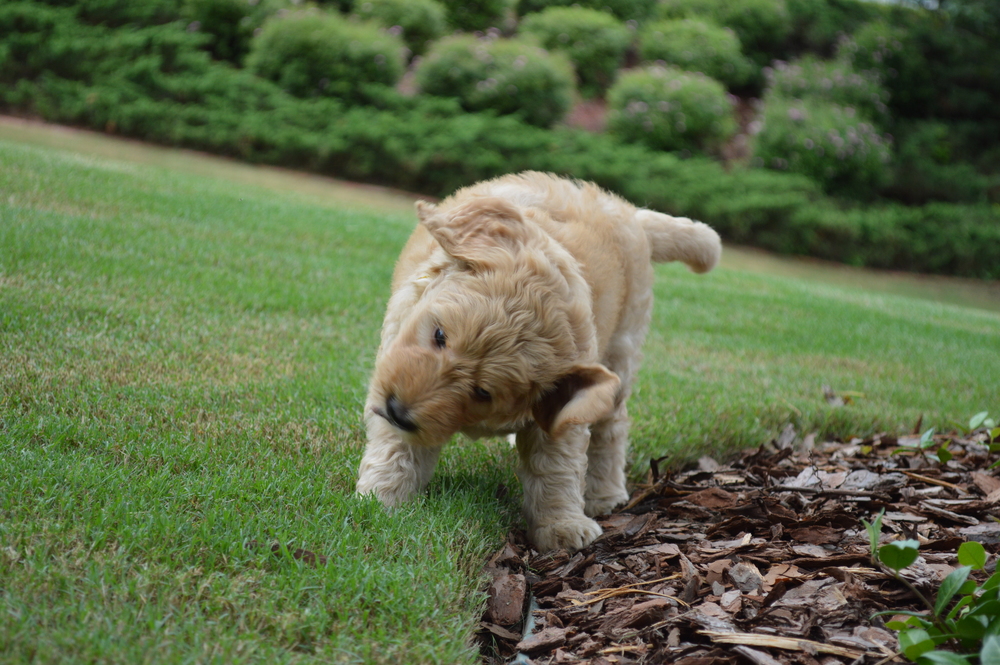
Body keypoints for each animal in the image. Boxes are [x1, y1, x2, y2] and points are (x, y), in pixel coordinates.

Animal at [356, 171, 724, 548]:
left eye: (482, 393)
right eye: (439, 335)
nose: (398, 411)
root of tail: (631, 214)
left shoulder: (566, 403)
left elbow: (556, 464)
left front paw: (562, 524)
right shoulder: (396, 347)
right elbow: (397, 447)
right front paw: (382, 501)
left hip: (623, 345)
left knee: (612, 424)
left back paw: (604, 493)